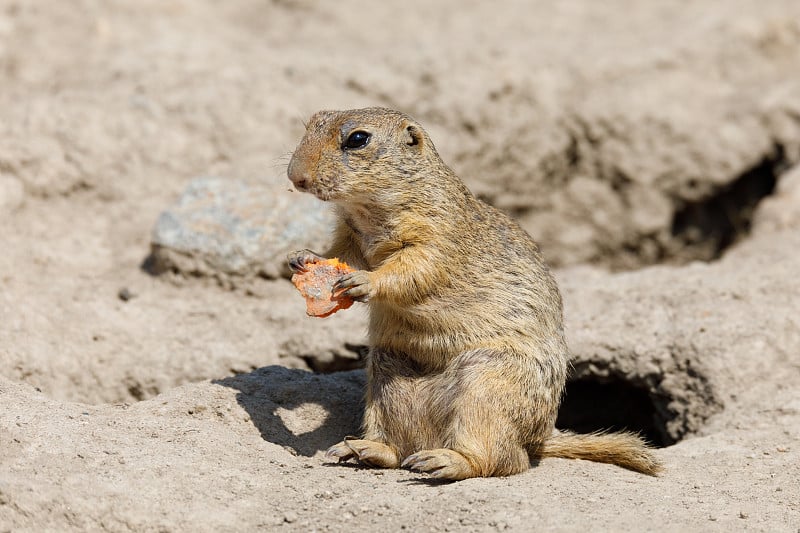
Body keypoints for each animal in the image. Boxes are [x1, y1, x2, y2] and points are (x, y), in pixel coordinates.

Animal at [284, 105, 660, 478]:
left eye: (358, 139)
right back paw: (361, 449)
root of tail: (539, 440)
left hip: (487, 386)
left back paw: (443, 461)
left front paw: (362, 282)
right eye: (312, 122)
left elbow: (413, 268)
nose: (294, 176)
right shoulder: (350, 235)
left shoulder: (437, 234)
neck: (368, 212)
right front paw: (302, 258)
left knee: (504, 460)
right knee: (398, 450)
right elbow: (341, 255)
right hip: (385, 379)